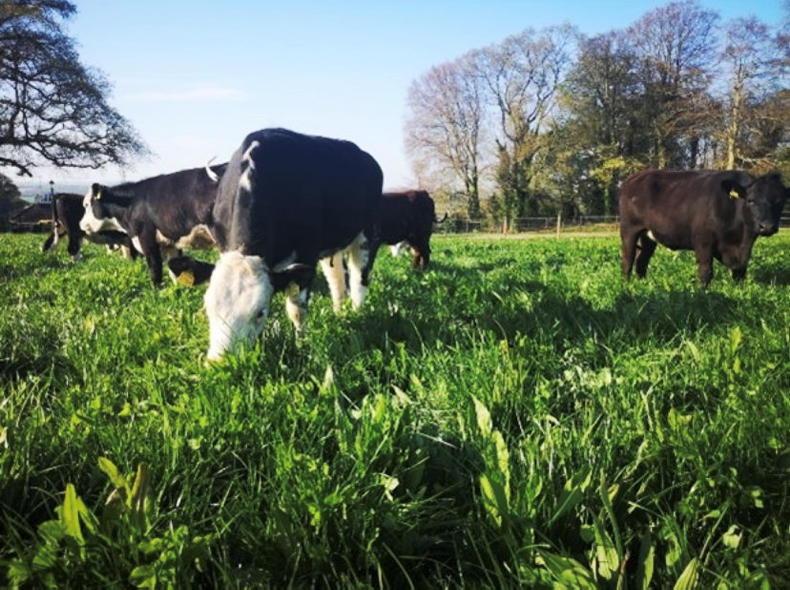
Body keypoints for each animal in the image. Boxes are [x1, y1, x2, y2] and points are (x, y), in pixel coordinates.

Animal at [79, 163, 227, 285]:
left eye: (86, 205)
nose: (80, 224)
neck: (131, 203)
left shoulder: (146, 238)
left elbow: (155, 268)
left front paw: (156, 291)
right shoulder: (170, 241)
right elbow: (173, 268)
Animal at [200, 128, 383, 360]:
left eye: (260, 313)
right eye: (208, 306)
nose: (220, 362)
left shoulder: (306, 256)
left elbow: (297, 311)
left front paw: (301, 346)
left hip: (368, 234)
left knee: (359, 281)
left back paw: (358, 317)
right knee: (337, 281)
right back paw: (340, 314)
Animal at [619, 169, 788, 286]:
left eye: (780, 201)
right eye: (751, 200)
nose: (767, 226)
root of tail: (633, 178)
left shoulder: (744, 250)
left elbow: (740, 272)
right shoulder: (703, 240)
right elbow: (706, 271)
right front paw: (702, 292)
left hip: (648, 236)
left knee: (642, 261)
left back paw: (642, 283)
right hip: (629, 229)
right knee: (628, 260)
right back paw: (626, 285)